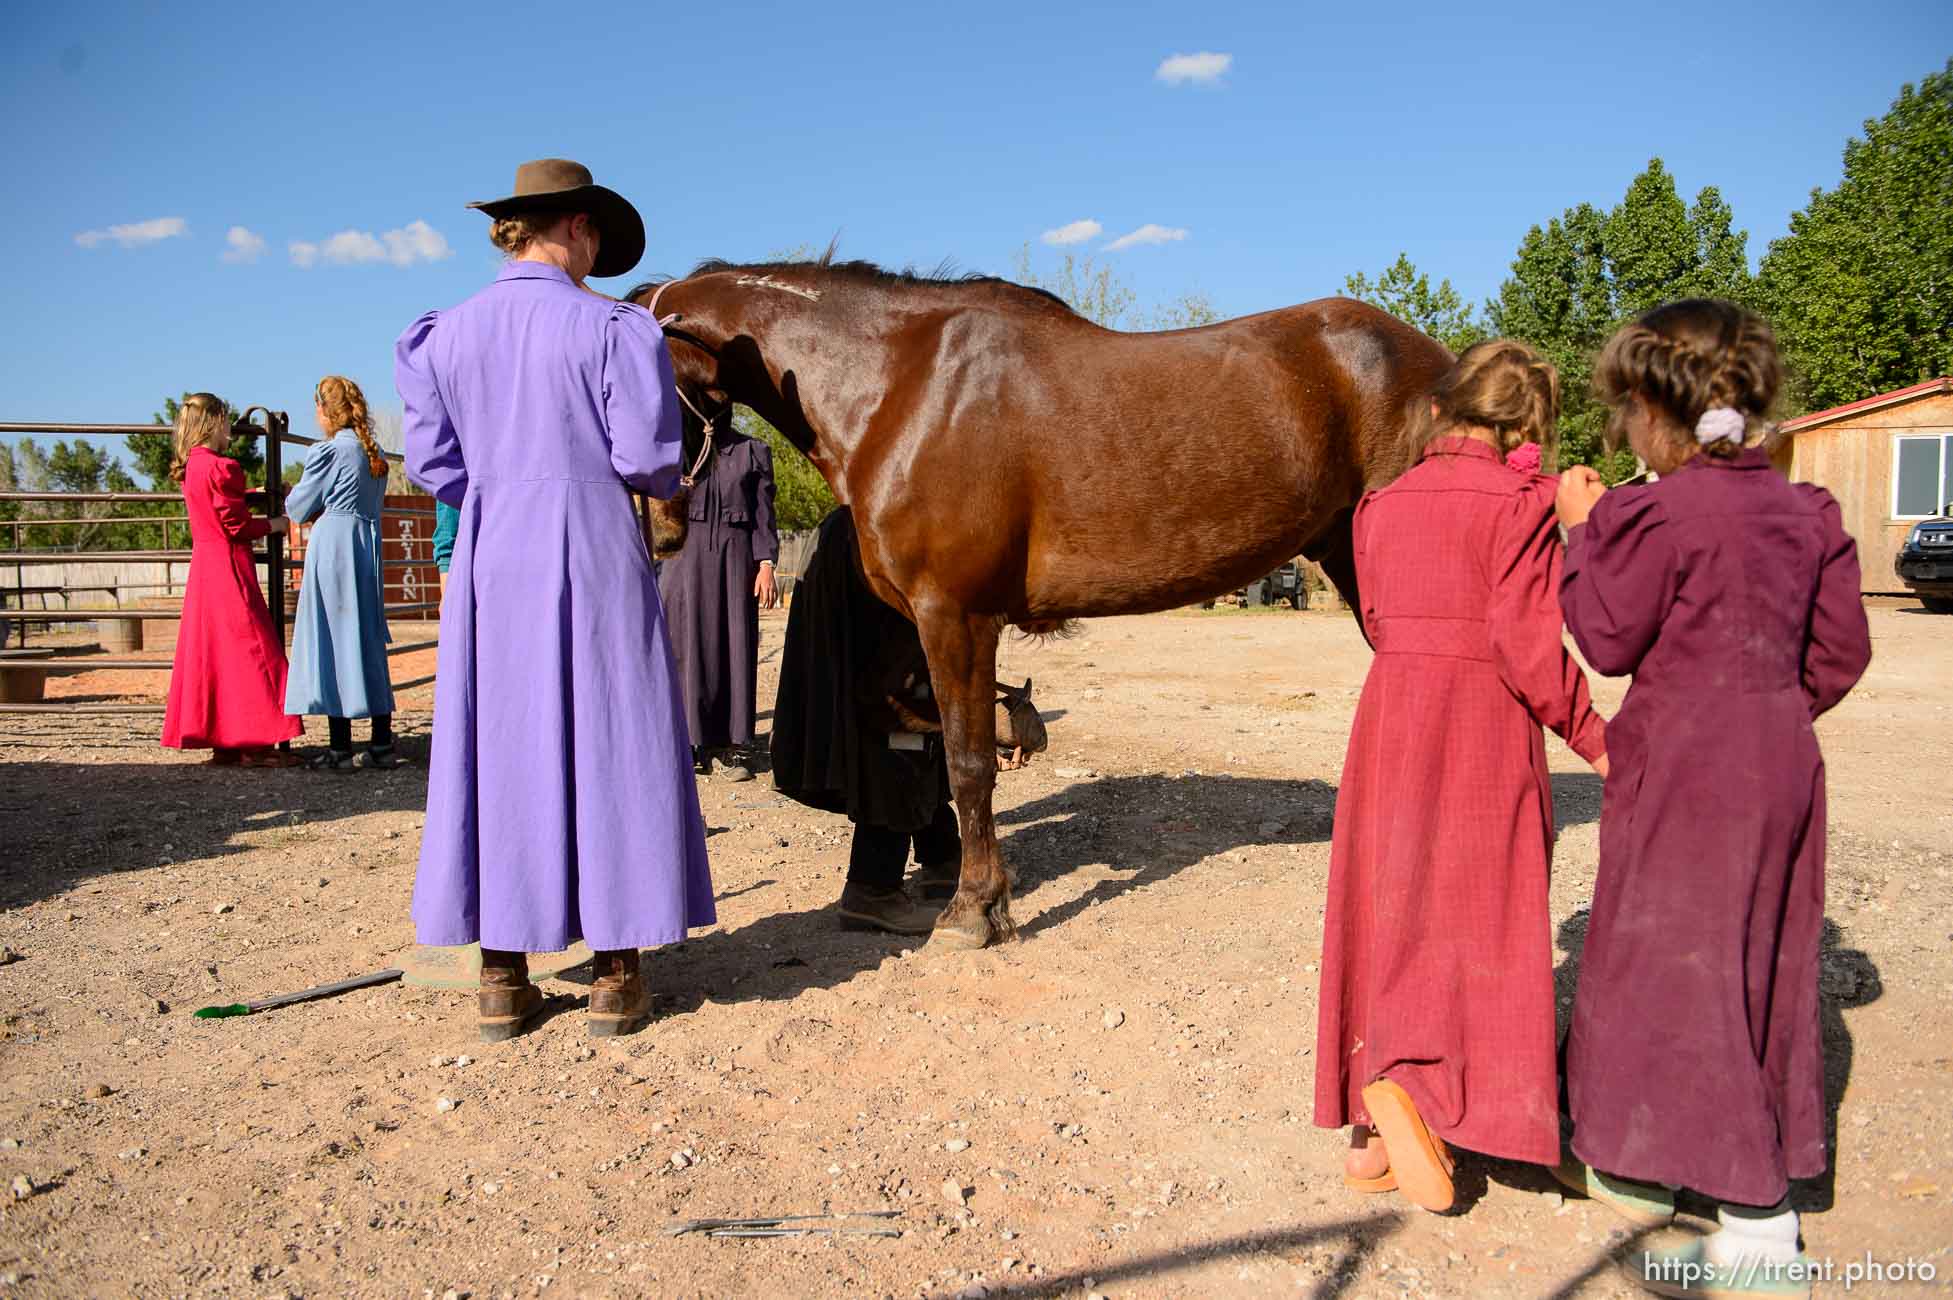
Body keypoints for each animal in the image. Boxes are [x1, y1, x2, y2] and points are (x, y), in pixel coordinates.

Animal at [632, 257, 1460, 948]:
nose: (660, 531)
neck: (900, 389)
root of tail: (1441, 364)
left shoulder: (954, 615)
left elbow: (965, 762)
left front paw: (974, 909)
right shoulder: (915, 623)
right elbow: (905, 719)